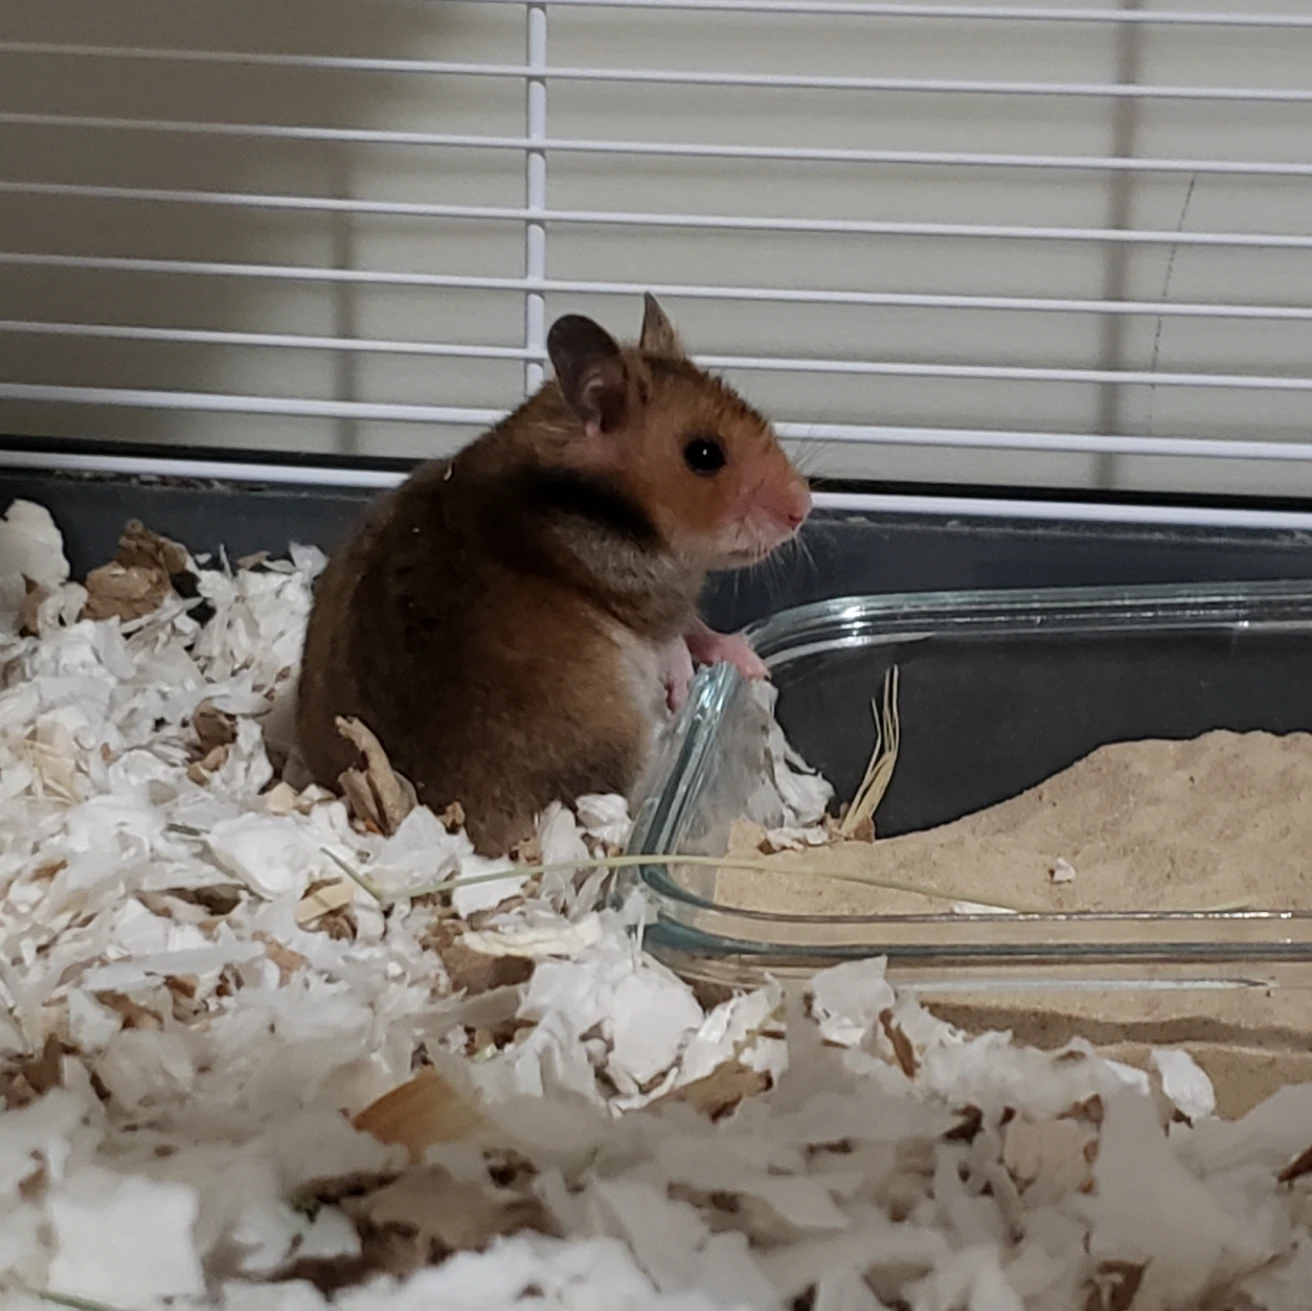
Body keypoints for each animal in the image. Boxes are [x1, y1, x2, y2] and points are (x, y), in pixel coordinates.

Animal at [296, 294, 811, 856]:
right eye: (704, 455)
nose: (804, 508)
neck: (607, 509)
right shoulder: (650, 605)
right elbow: (680, 639)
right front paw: (701, 682)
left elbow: (700, 629)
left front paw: (754, 663)